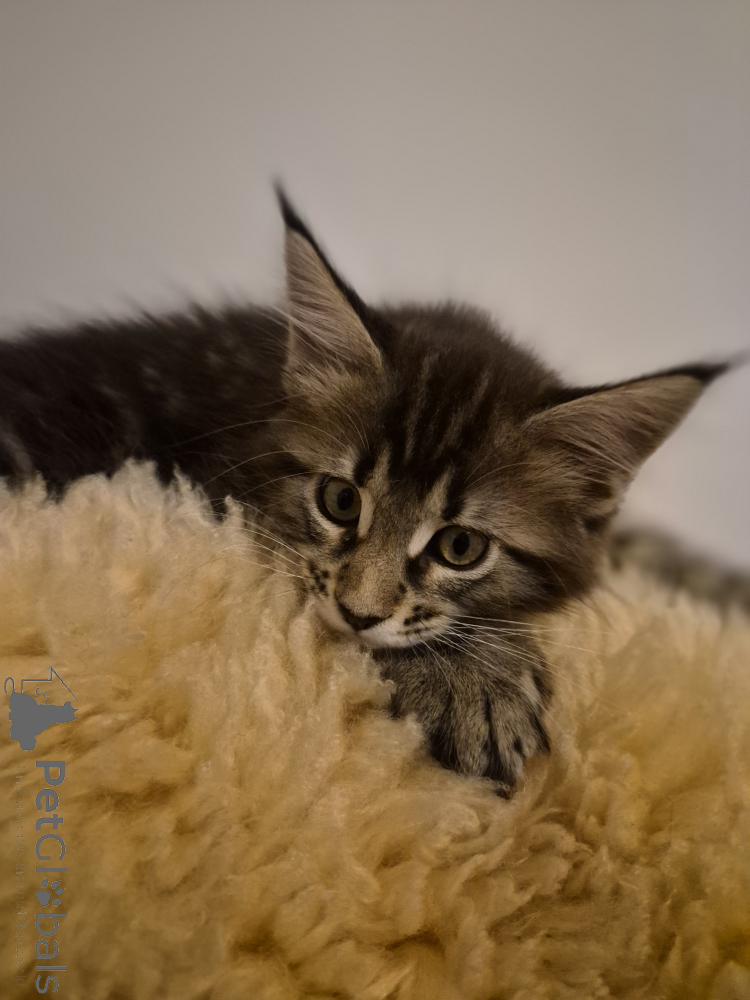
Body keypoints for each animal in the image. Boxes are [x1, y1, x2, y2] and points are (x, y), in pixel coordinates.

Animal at [0, 190, 727, 793]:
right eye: (341, 501)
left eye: (460, 547)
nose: (356, 613)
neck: (257, 395)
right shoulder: (205, 499)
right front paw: (471, 682)